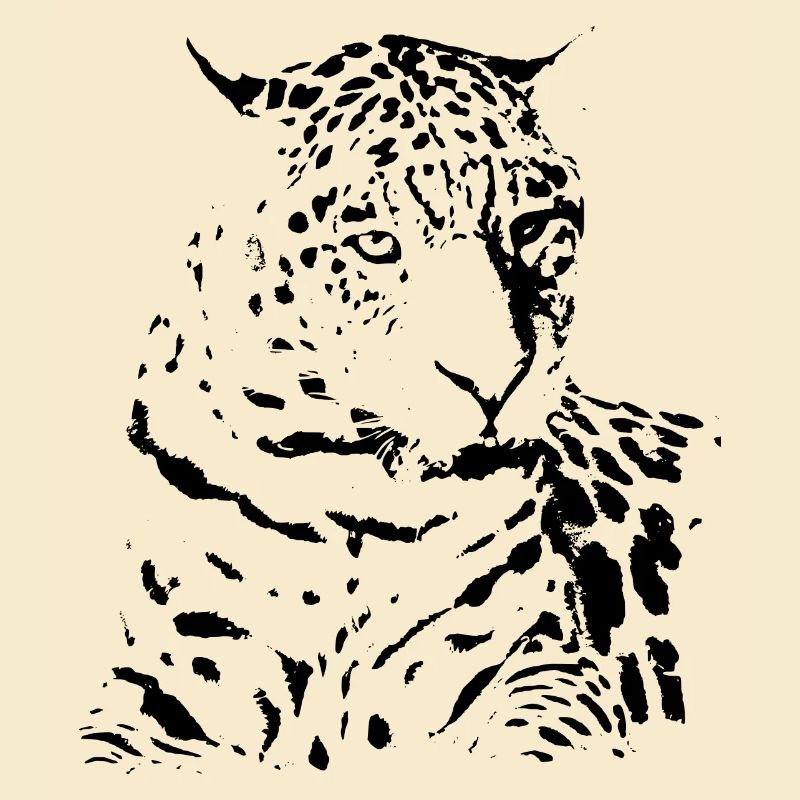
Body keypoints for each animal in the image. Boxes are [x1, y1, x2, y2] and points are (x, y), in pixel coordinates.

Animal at [79, 33, 719, 772]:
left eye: (532, 227)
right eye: (377, 244)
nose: (496, 379)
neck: (354, 497)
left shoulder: (550, 664)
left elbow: (536, 740)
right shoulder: (161, 680)